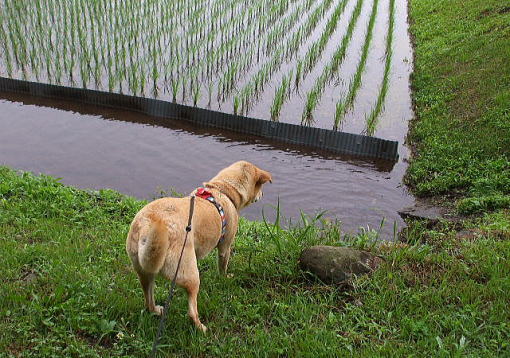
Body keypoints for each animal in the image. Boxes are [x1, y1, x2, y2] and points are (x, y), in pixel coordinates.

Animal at [125, 161, 270, 332]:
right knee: (191, 311)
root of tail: (146, 225)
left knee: (148, 299)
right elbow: (223, 265)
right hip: (190, 274)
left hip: (145, 271)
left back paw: (156, 310)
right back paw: (201, 328)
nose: (263, 195)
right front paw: (224, 277)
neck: (222, 190)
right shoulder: (225, 246)